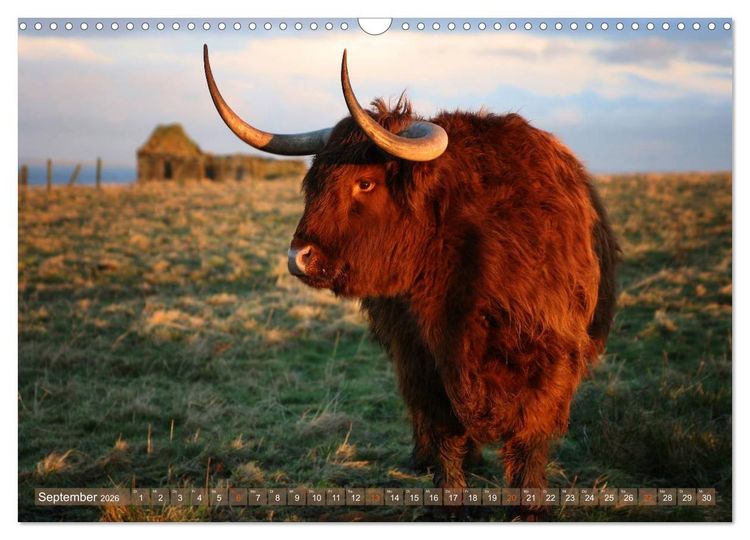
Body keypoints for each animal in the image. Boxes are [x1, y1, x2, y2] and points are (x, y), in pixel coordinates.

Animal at [203, 45, 619, 499]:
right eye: (313, 182)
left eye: (365, 183)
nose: (299, 257)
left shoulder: (547, 365)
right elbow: (446, 447)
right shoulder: (423, 364)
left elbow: (528, 453)